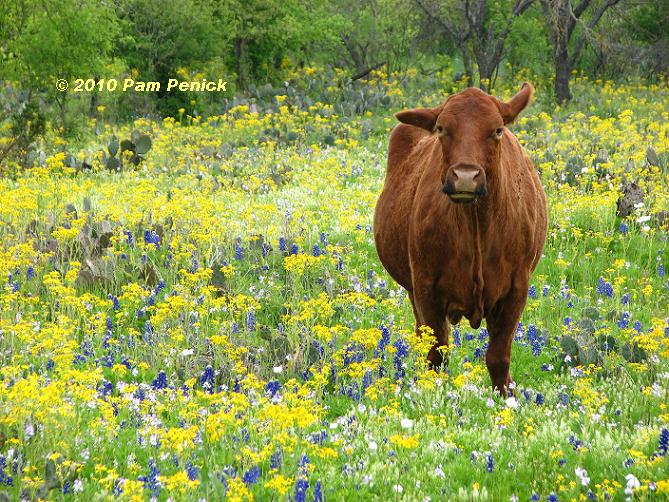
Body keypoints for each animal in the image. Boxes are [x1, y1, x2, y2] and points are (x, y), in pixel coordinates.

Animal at [374, 83, 544, 396]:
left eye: (497, 130)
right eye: (442, 129)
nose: (466, 176)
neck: (476, 225)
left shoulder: (517, 289)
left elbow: (498, 357)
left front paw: (507, 397)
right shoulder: (425, 287)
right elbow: (436, 354)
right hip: (412, 290)